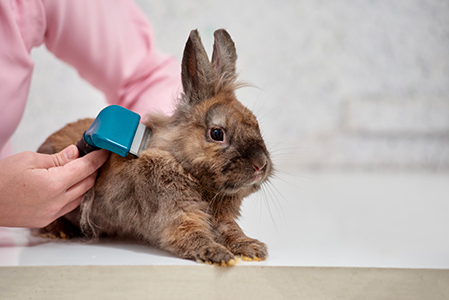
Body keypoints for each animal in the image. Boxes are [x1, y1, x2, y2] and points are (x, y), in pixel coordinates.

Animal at [36, 29, 272, 266]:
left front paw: (252, 249)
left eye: (255, 123)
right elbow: (193, 235)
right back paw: (59, 232)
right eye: (217, 134)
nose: (261, 165)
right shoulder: (177, 216)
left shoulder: (221, 218)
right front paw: (218, 255)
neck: (183, 165)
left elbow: (231, 231)